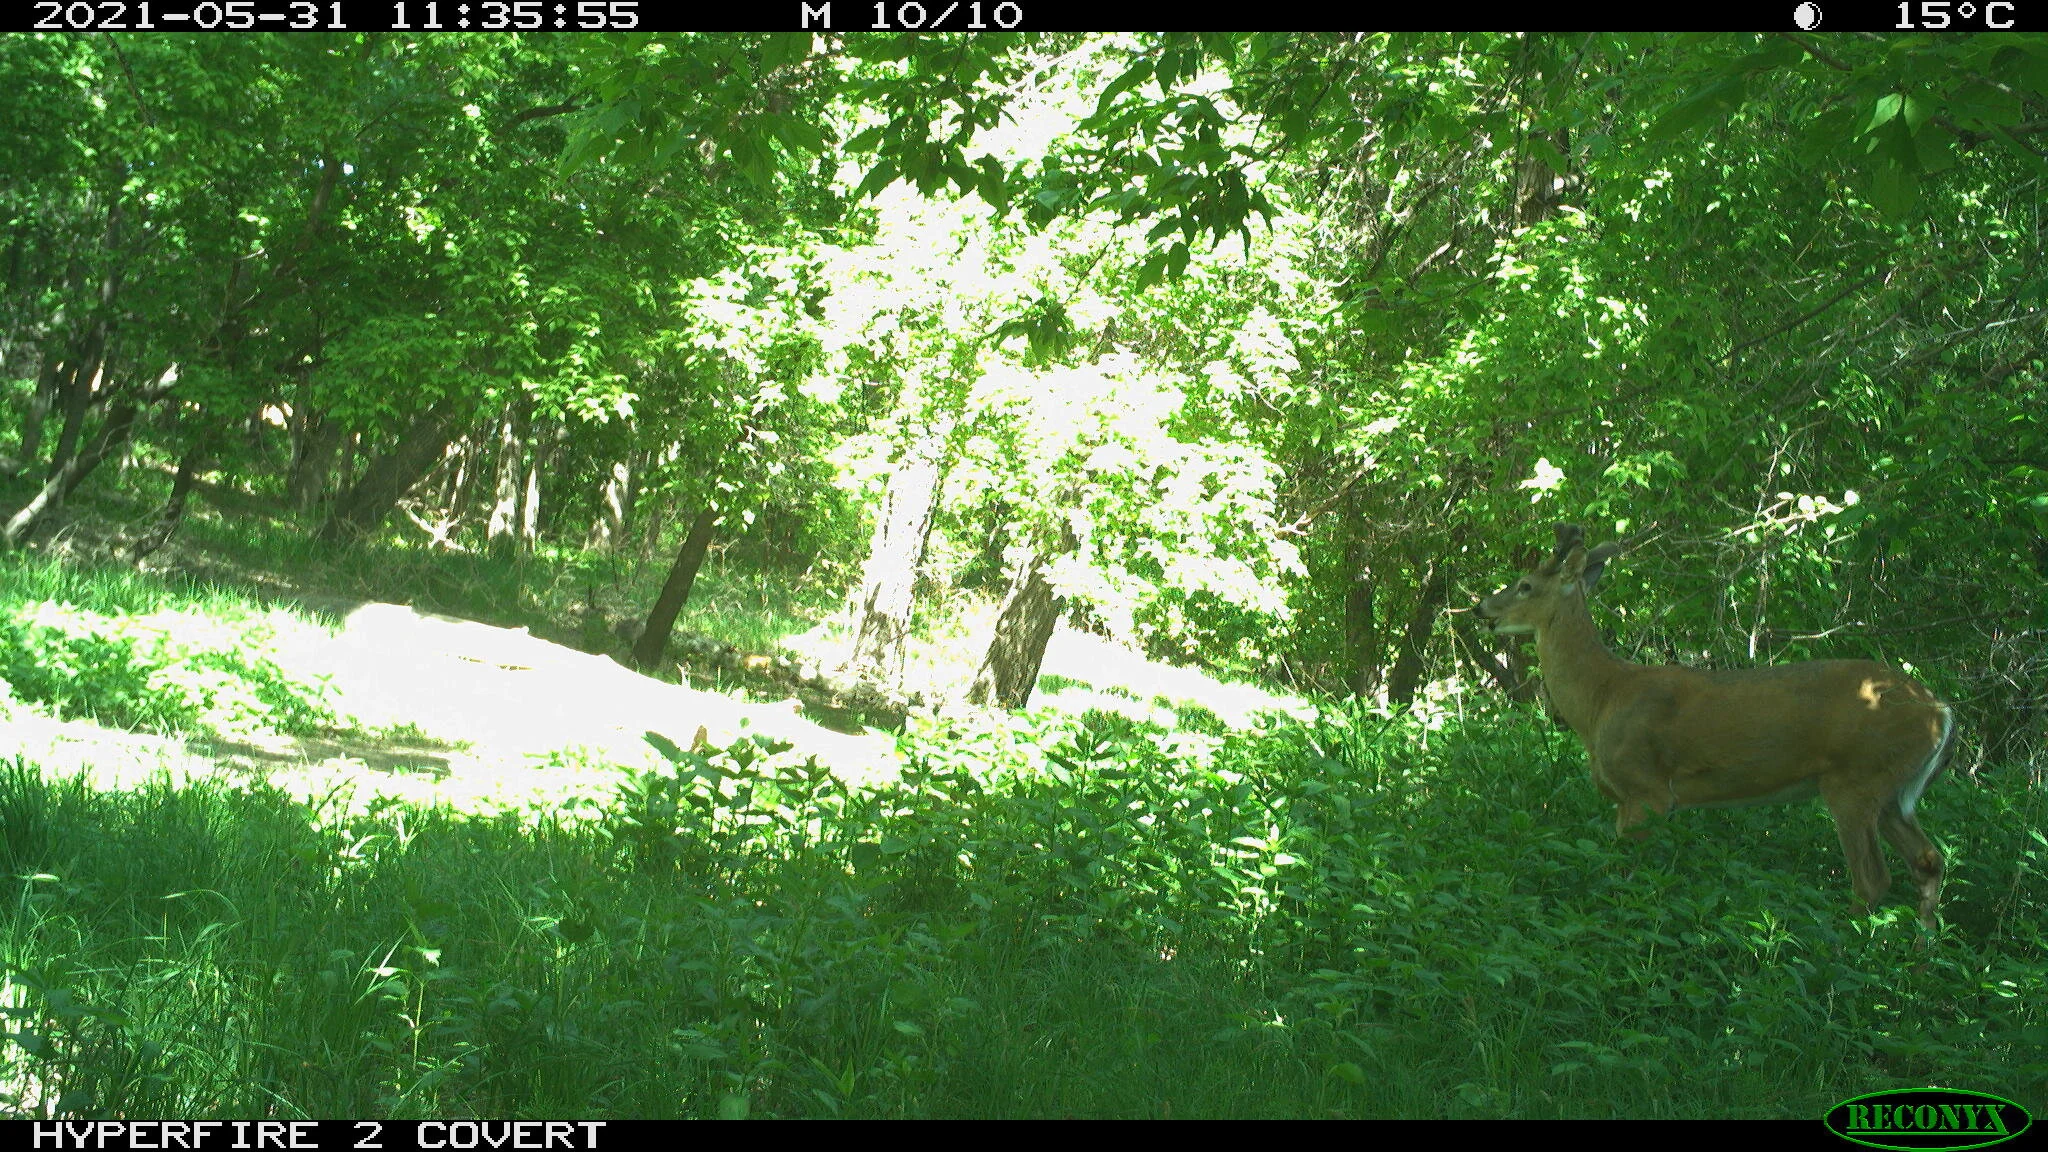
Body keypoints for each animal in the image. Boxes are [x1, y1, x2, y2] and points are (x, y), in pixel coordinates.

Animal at [1475, 525, 1956, 931]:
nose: (1482, 607)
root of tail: (1941, 711)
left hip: (1856, 778)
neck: (1603, 699)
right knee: (1929, 860)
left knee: (1872, 879)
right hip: (1893, 792)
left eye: (1524, 584)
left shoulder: (1646, 789)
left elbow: (1629, 873)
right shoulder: (1627, 799)